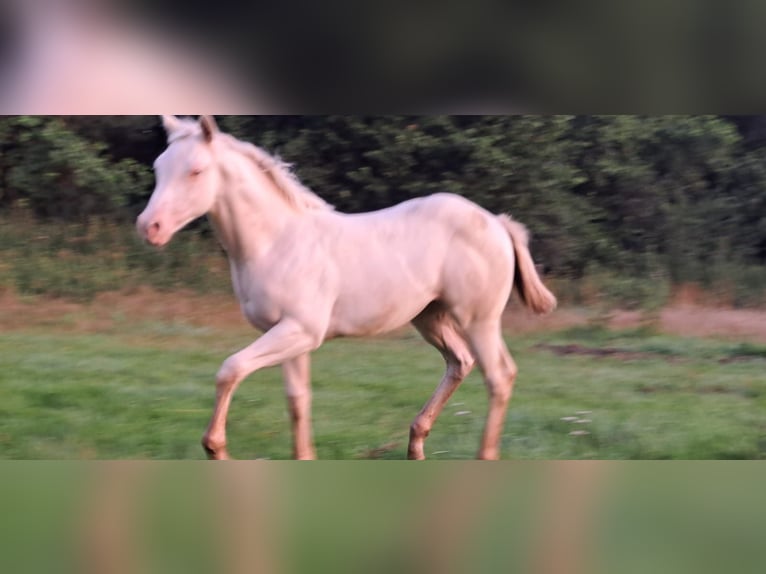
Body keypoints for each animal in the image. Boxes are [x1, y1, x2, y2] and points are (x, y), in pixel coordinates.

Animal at [136, 115, 557, 460]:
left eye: (196, 171)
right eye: (159, 167)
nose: (149, 227)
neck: (276, 242)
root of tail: (497, 222)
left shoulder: (301, 330)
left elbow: (230, 369)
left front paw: (215, 447)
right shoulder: (290, 336)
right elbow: (297, 401)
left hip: (478, 319)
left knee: (499, 376)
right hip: (429, 317)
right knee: (460, 362)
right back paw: (416, 445)